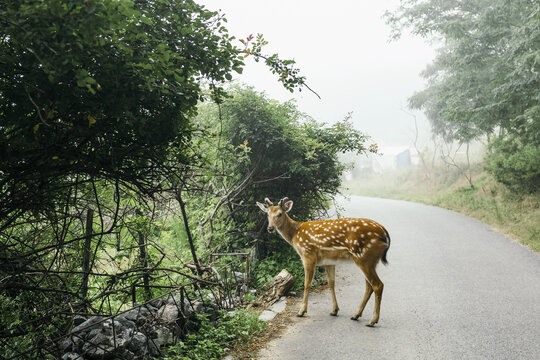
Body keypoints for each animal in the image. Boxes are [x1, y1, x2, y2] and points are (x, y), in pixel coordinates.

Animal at [256, 197, 388, 326]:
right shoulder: (328, 261)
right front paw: (334, 310)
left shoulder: (308, 256)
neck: (295, 235)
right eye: (267, 214)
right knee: (369, 286)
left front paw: (301, 311)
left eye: (280, 214)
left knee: (378, 285)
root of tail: (385, 233)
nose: (270, 228)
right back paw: (356, 315)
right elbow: (331, 284)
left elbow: (307, 284)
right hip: (368, 261)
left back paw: (372, 320)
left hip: (364, 257)